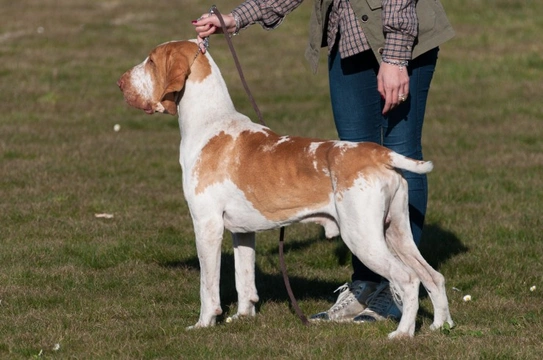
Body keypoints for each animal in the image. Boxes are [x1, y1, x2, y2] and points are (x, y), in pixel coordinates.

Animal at [118, 39, 454, 338]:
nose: (120, 82)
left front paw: (204, 324)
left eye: (151, 61)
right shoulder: (242, 232)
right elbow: (244, 280)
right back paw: (440, 326)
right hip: (397, 233)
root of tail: (379, 153)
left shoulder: (206, 225)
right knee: (433, 276)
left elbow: (208, 287)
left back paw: (403, 333)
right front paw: (243, 317)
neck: (210, 121)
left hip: (364, 238)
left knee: (408, 279)